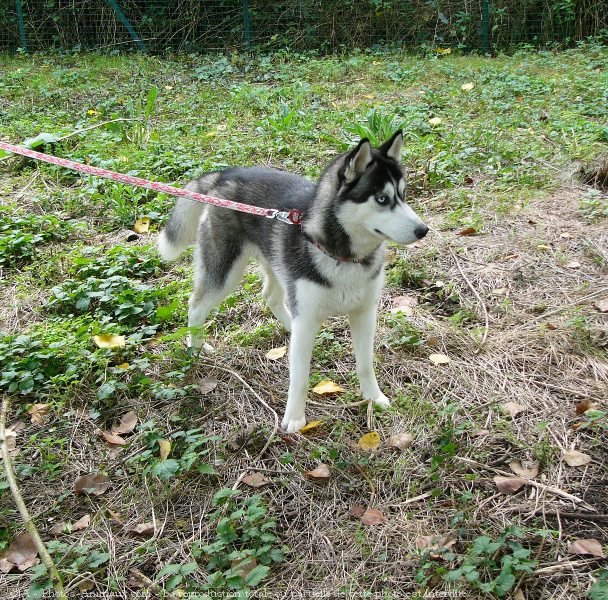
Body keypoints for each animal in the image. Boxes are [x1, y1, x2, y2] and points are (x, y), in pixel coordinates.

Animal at [159, 131, 430, 432]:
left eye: (403, 195)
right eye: (382, 199)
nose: (423, 230)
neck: (342, 256)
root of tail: (226, 173)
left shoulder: (364, 313)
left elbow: (365, 363)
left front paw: (373, 397)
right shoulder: (309, 308)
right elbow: (299, 376)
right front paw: (295, 418)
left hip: (278, 266)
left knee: (273, 298)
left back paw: (290, 328)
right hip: (226, 273)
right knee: (196, 304)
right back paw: (195, 347)